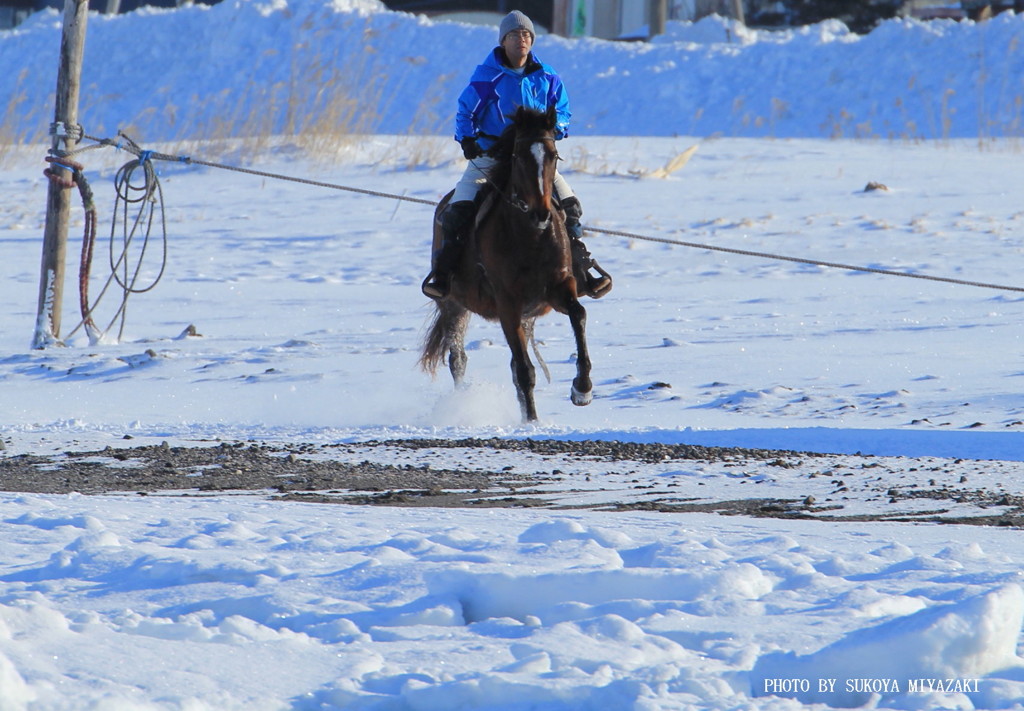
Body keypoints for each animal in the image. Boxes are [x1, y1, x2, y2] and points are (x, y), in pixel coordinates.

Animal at [415, 106, 593, 424]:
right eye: (519, 156)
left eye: (553, 155)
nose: (541, 213)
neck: (530, 236)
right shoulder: (507, 303)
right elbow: (524, 370)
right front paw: (531, 422)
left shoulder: (558, 289)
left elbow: (579, 314)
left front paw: (582, 388)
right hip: (453, 305)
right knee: (458, 358)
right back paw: (462, 404)